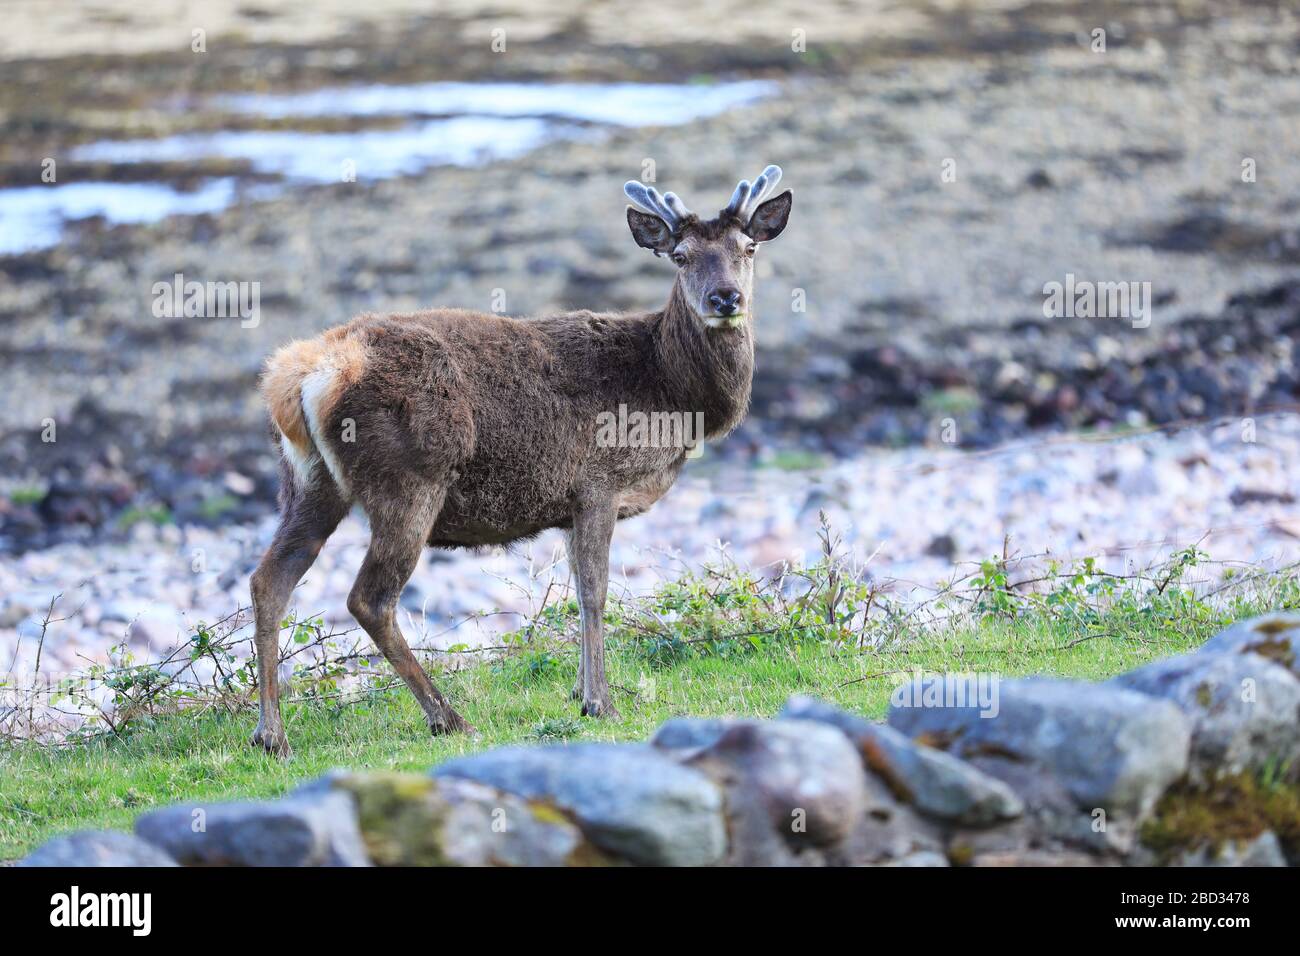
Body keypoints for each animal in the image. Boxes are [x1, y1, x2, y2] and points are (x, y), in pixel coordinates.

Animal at [250, 165, 793, 756]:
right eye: (680, 255)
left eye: (748, 248)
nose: (726, 298)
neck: (669, 394)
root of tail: (300, 377)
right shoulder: (598, 483)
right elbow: (596, 593)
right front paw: (600, 702)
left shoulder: (569, 506)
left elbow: (577, 589)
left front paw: (580, 691)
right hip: (410, 478)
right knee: (368, 599)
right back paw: (447, 717)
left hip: (308, 482)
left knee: (268, 580)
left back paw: (271, 734)